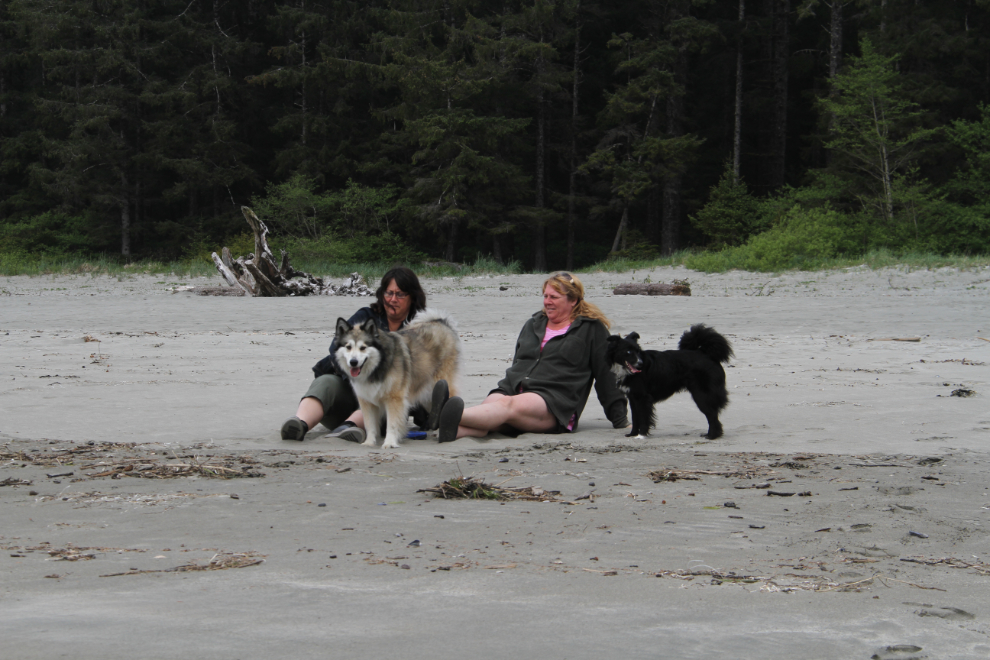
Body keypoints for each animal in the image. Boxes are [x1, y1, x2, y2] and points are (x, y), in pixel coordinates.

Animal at [334, 310, 458, 448]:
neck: (378, 366)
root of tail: (440, 322)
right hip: (428, 393)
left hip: (441, 382)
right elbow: (370, 424)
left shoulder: (394, 399)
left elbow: (392, 424)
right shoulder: (367, 401)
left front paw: (390, 442)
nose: (353, 362)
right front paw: (369, 442)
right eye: (348, 347)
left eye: (363, 347)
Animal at [604, 324, 736, 438]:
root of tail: (707, 354)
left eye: (637, 351)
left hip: (701, 395)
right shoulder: (633, 397)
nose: (640, 364)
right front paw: (633, 434)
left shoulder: (643, 398)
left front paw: (641, 435)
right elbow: (635, 418)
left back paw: (712, 436)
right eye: (628, 352)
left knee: (712, 415)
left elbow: (643, 417)